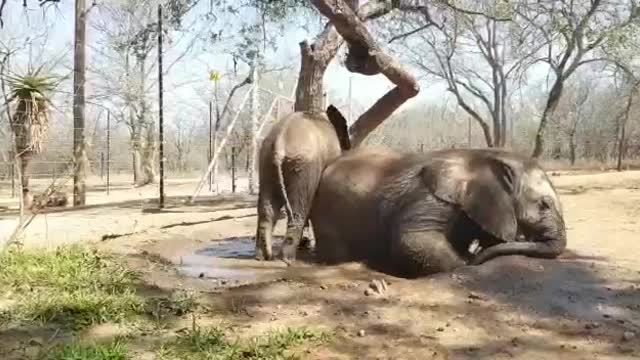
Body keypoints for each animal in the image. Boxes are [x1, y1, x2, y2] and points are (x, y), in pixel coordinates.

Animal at [255, 104, 352, 262]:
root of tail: (279, 143)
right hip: (303, 164)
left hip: (266, 161)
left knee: (267, 207)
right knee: (299, 206)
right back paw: (287, 259)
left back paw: (264, 256)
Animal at [308, 146, 564, 278]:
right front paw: (467, 260)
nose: (476, 257)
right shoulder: (431, 196)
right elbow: (414, 241)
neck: (482, 157)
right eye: (544, 205)